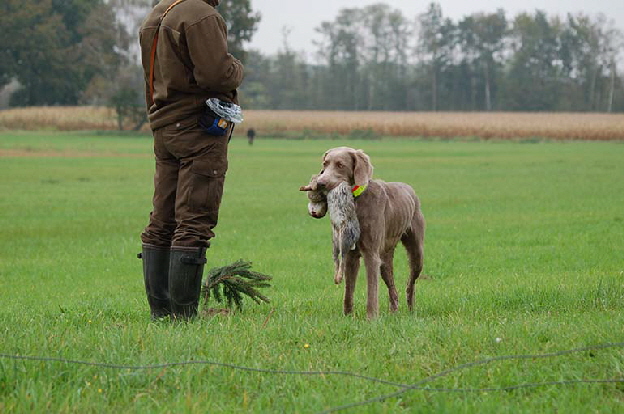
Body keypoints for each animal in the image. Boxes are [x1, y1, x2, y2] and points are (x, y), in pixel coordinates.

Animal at [300, 147, 426, 318]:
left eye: (340, 165)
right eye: (325, 164)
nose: (320, 183)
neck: (355, 201)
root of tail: (410, 189)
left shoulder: (371, 254)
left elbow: (371, 290)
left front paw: (371, 318)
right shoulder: (351, 255)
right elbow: (348, 291)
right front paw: (347, 316)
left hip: (416, 251)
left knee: (411, 282)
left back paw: (411, 309)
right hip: (385, 258)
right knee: (392, 287)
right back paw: (393, 311)